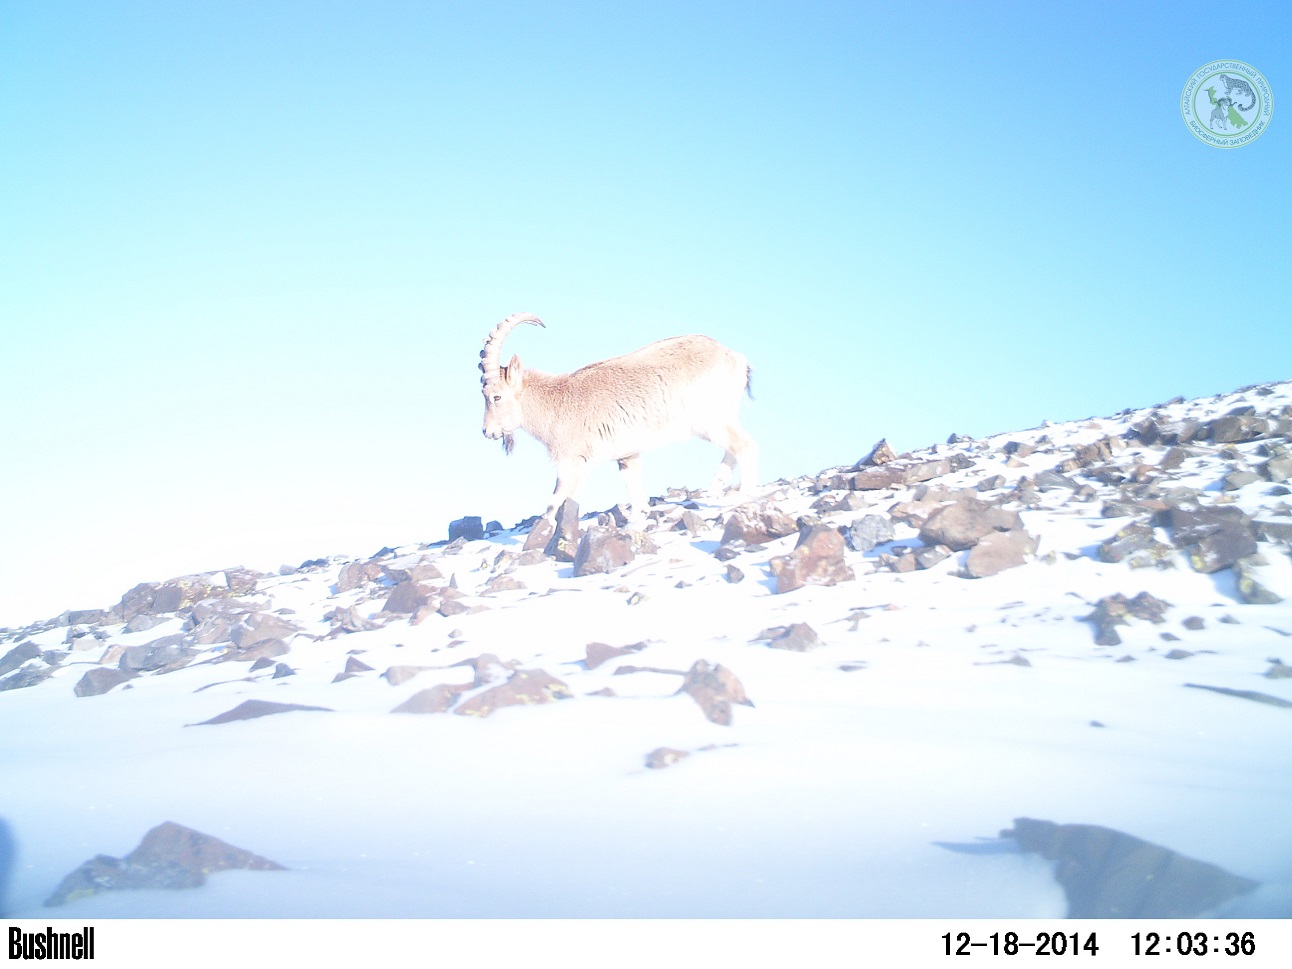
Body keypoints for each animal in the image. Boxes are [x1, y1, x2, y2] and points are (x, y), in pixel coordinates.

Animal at [479, 312, 758, 520]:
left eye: (496, 396)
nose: (487, 432)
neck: (556, 403)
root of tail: (735, 358)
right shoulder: (627, 455)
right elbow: (635, 493)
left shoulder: (575, 462)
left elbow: (556, 504)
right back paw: (714, 490)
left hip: (710, 420)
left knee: (745, 446)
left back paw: (744, 496)